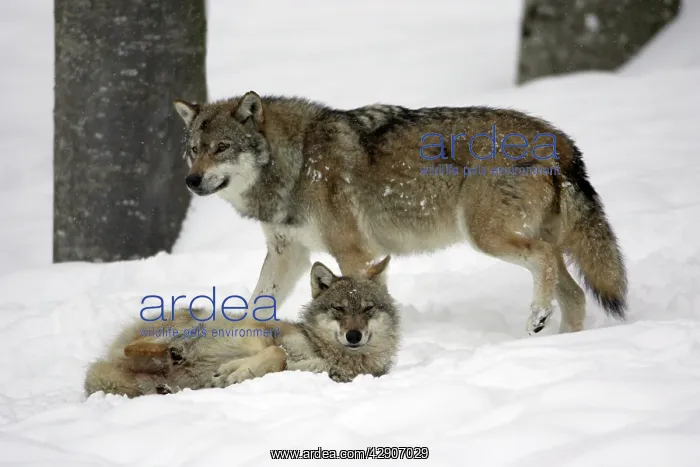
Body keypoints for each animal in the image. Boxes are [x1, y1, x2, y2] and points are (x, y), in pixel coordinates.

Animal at [84, 256, 399, 398]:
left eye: (367, 309)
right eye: (340, 309)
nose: (354, 335)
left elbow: (282, 362)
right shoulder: (271, 339)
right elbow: (277, 353)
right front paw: (233, 372)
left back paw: (167, 382)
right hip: (212, 321)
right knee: (137, 347)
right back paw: (173, 352)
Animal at [172, 92, 627, 334]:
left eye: (222, 148)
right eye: (194, 150)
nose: (191, 181)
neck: (297, 163)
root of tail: (559, 139)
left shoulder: (352, 253)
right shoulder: (289, 254)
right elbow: (257, 301)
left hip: (488, 237)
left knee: (545, 262)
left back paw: (537, 316)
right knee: (575, 294)